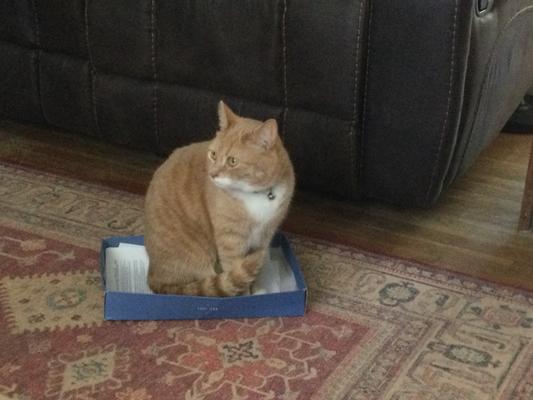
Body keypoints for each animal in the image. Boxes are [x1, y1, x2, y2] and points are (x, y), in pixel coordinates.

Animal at [143, 102, 296, 296]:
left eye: (232, 161)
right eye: (213, 155)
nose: (212, 174)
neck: (258, 195)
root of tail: (152, 276)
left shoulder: (265, 237)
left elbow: (256, 270)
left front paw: (258, 289)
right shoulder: (231, 241)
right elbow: (237, 274)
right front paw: (245, 296)